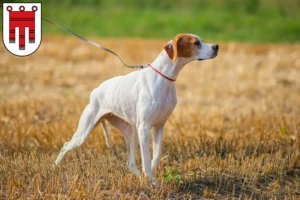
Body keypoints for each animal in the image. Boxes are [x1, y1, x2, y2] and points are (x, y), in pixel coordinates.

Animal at [54, 33, 218, 184]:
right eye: (196, 43)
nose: (216, 46)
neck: (163, 78)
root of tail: (95, 91)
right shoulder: (144, 127)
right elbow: (146, 157)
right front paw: (151, 180)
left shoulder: (159, 126)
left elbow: (156, 155)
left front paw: (150, 175)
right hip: (85, 132)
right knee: (65, 146)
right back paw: (54, 168)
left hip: (130, 132)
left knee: (131, 163)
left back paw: (139, 177)